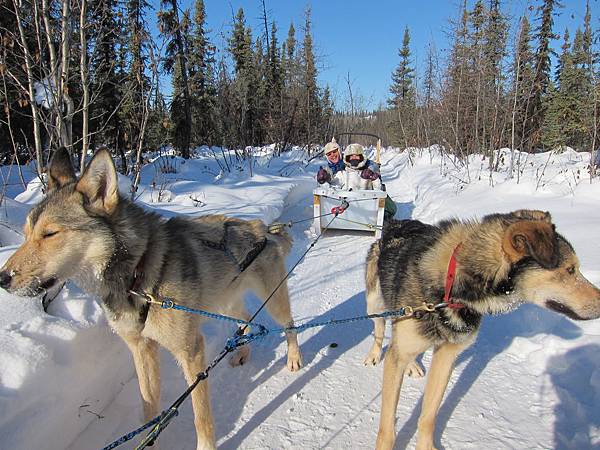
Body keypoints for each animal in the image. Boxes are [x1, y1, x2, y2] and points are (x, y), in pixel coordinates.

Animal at [0, 149, 302, 450]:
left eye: (50, 233)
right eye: (26, 234)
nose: (2, 278)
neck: (136, 274)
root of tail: (261, 227)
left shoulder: (191, 351)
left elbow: (200, 415)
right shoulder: (141, 348)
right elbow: (149, 403)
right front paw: (148, 439)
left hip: (272, 299)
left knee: (288, 324)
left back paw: (294, 358)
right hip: (224, 301)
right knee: (246, 318)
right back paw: (241, 350)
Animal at [364, 211, 600, 450]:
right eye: (570, 269)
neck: (452, 286)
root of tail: (395, 223)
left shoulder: (446, 357)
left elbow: (428, 416)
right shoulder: (397, 359)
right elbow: (387, 428)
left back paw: (412, 365)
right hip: (374, 305)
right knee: (380, 330)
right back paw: (374, 355)